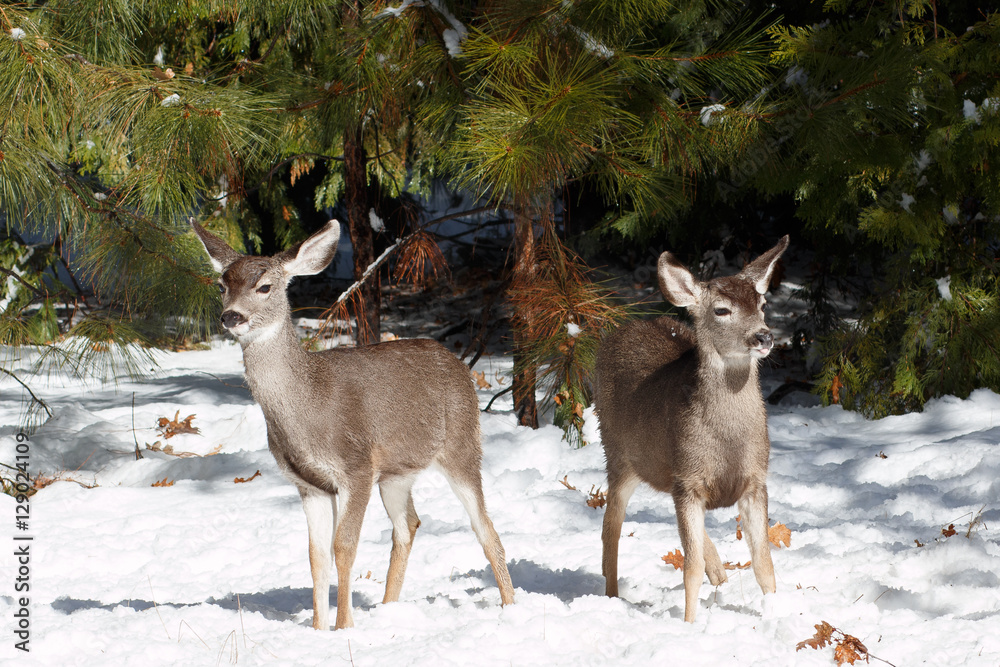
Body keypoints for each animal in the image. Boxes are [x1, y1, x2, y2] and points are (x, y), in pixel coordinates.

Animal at [190, 219, 515, 630]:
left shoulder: (356, 466)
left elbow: (343, 547)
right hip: (396, 473)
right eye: (222, 285)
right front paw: (318, 629)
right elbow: (316, 557)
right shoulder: (309, 484)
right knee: (408, 525)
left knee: (485, 527)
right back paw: (388, 608)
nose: (231, 317)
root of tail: (459, 364)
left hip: (461, 444)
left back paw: (511, 606)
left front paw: (344, 627)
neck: (308, 411)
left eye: (264, 286)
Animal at [594, 235, 789, 623]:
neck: (728, 442)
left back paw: (721, 576)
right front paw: (689, 624)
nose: (763, 337)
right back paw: (611, 595)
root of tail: (622, 329)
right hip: (618, 454)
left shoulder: (754, 480)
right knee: (611, 526)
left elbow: (764, 564)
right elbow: (690, 568)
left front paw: (776, 616)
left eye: (762, 303)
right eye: (722, 310)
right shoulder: (688, 481)